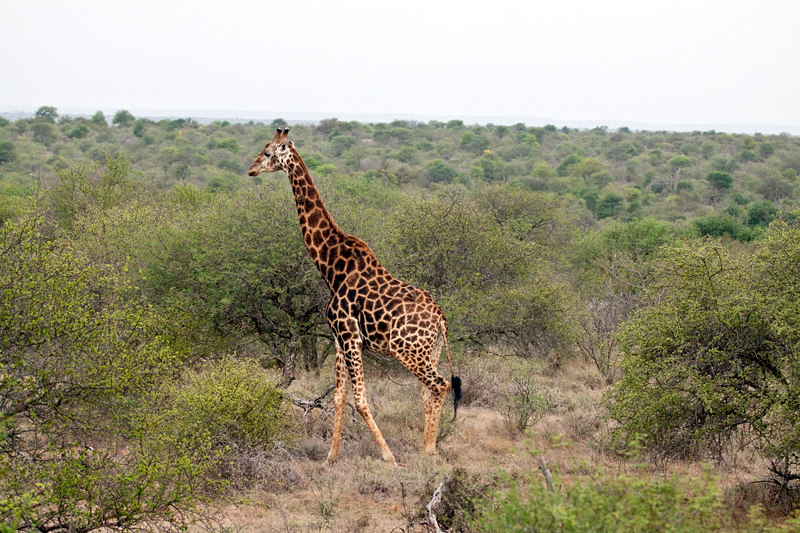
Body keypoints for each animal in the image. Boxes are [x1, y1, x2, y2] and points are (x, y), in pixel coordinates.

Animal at [250, 127, 462, 464]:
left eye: (269, 152)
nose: (252, 169)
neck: (331, 267)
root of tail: (441, 320)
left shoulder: (350, 336)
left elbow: (360, 399)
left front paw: (388, 457)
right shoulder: (338, 337)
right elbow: (339, 396)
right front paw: (330, 459)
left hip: (407, 351)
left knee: (440, 386)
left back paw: (428, 452)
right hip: (431, 351)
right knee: (427, 392)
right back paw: (426, 449)